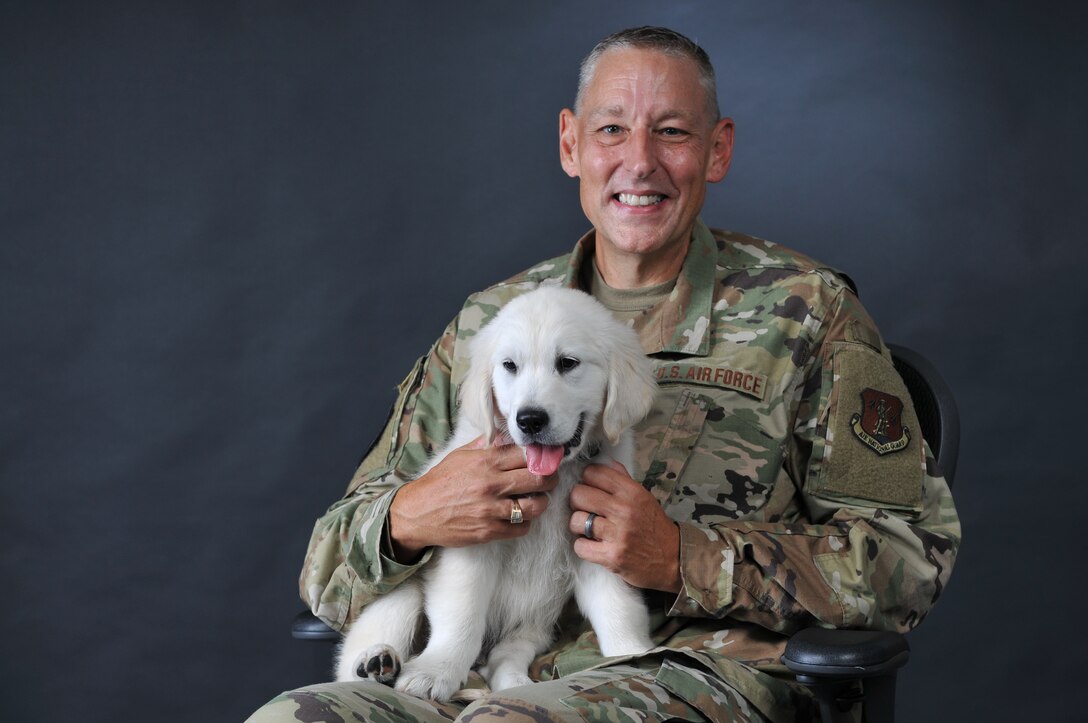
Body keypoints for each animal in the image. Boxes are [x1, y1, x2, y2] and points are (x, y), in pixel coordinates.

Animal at [332, 287, 652, 700]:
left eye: (568, 363)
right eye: (509, 366)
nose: (529, 420)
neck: (557, 475)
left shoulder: (597, 537)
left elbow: (618, 609)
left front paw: (636, 654)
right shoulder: (468, 540)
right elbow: (462, 613)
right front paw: (436, 671)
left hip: (532, 626)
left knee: (504, 658)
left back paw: (513, 683)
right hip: (404, 587)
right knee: (356, 656)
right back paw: (376, 662)